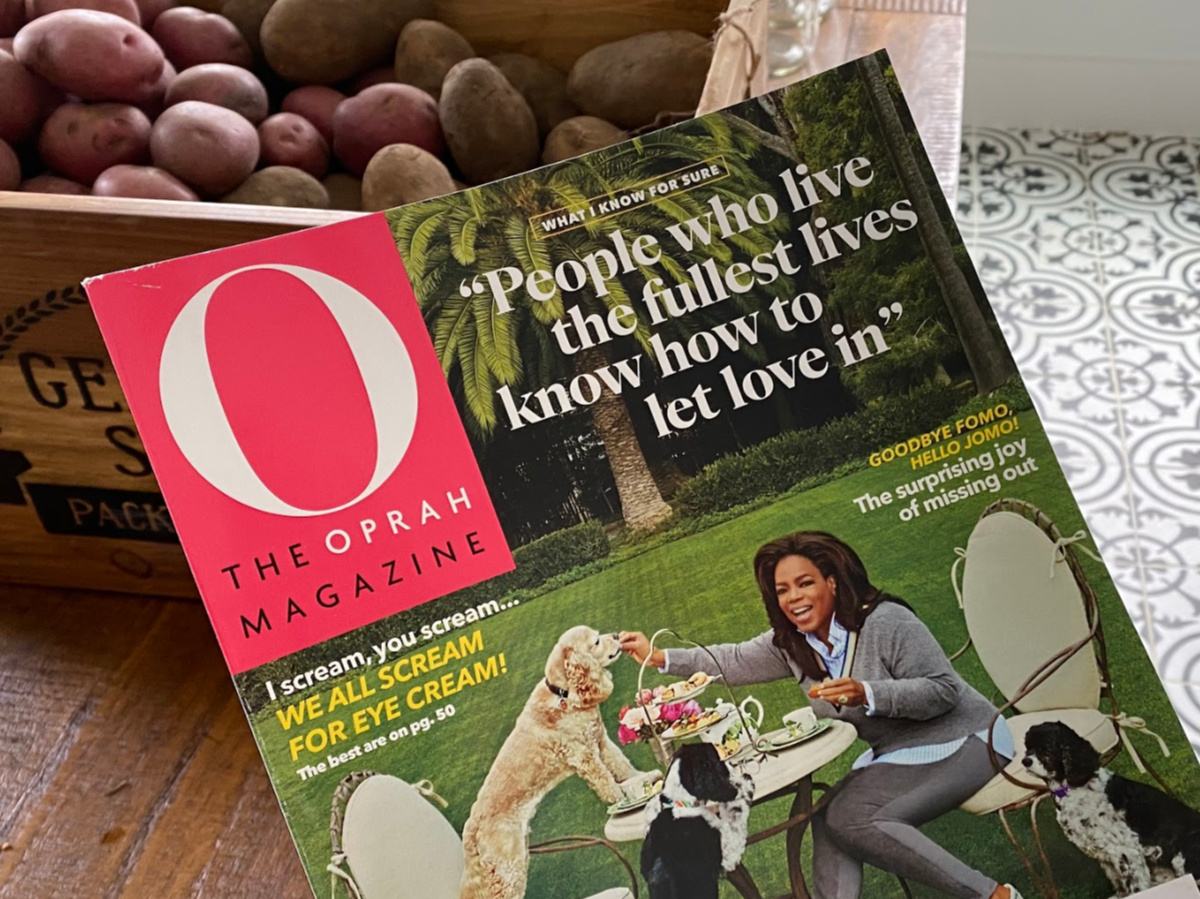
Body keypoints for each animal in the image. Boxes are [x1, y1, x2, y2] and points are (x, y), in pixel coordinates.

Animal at [643, 739, 753, 897]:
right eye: (718, 760)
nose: (730, 764)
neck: (681, 803)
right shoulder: (728, 854)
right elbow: (734, 816)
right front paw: (744, 784)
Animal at [1022, 720, 1200, 892]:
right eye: (1027, 747)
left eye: (1047, 747)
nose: (1025, 761)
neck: (1072, 789)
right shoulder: (1106, 858)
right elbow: (1121, 888)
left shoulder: (1126, 851)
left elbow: (1135, 888)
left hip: (1181, 857)